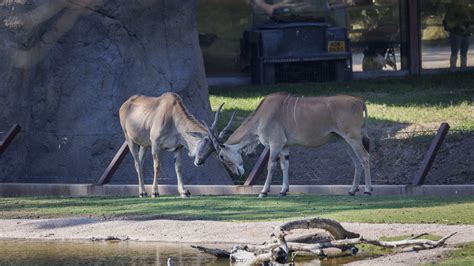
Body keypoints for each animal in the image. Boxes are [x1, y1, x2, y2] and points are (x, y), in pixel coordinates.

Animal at [209, 92, 372, 197]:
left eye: (222, 156)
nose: (237, 173)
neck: (262, 115)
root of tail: (359, 101)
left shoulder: (275, 143)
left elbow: (271, 166)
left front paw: (264, 191)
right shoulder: (284, 146)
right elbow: (284, 165)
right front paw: (283, 191)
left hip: (353, 138)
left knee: (365, 158)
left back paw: (367, 190)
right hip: (344, 141)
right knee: (357, 162)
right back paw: (352, 190)